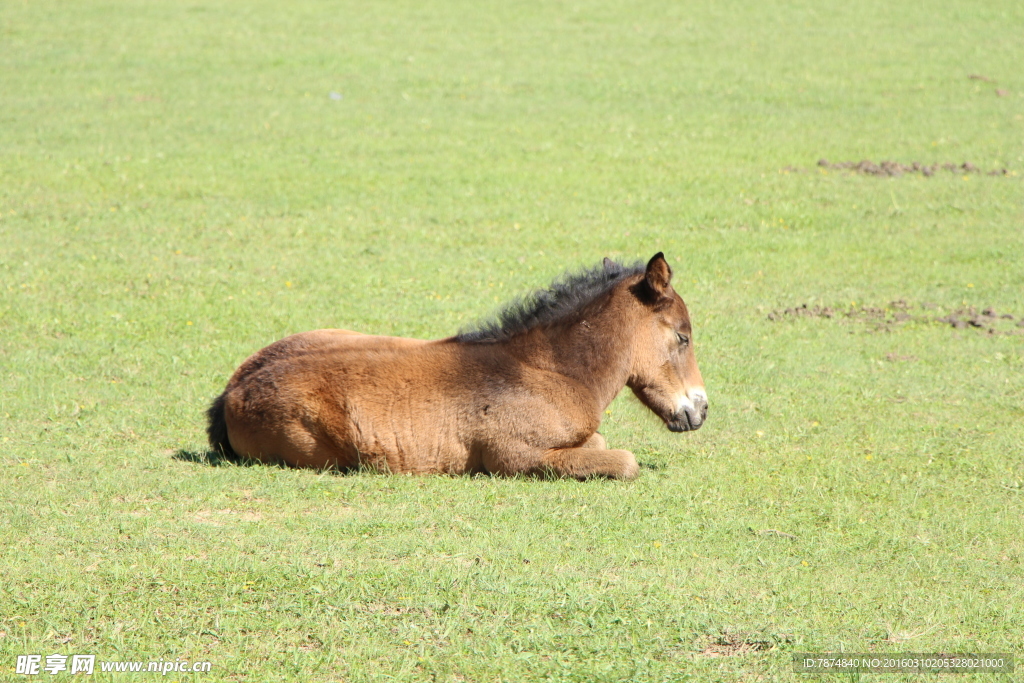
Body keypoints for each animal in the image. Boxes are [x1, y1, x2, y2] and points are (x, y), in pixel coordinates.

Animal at [204, 252, 708, 481]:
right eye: (682, 337)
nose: (699, 410)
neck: (544, 370)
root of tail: (231, 392)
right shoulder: (513, 456)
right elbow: (624, 461)